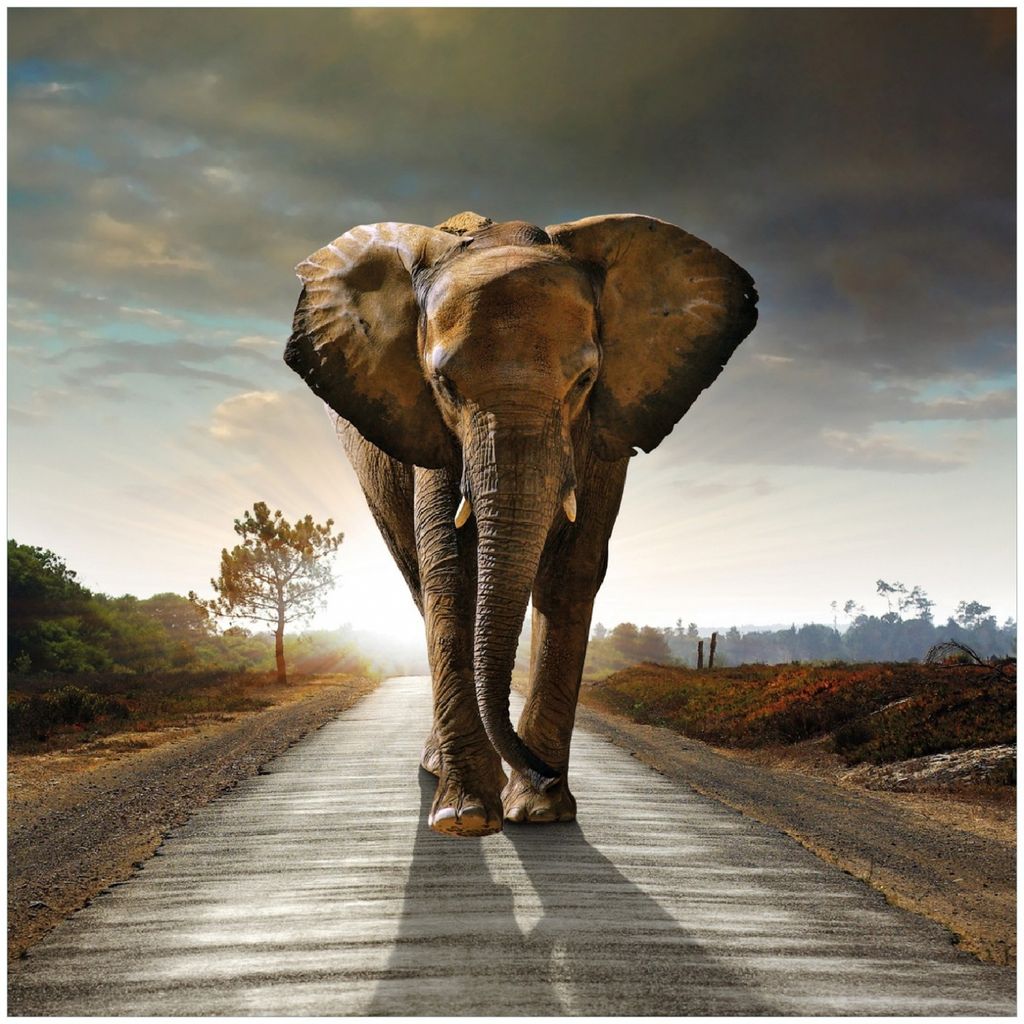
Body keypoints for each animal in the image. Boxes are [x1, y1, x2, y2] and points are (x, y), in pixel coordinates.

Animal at [285, 211, 757, 837]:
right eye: (445, 385)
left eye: (584, 380)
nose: (543, 773)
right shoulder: (432, 432)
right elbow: (451, 572)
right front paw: (466, 818)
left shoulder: (603, 429)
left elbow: (572, 572)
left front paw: (539, 811)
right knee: (418, 580)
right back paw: (440, 771)